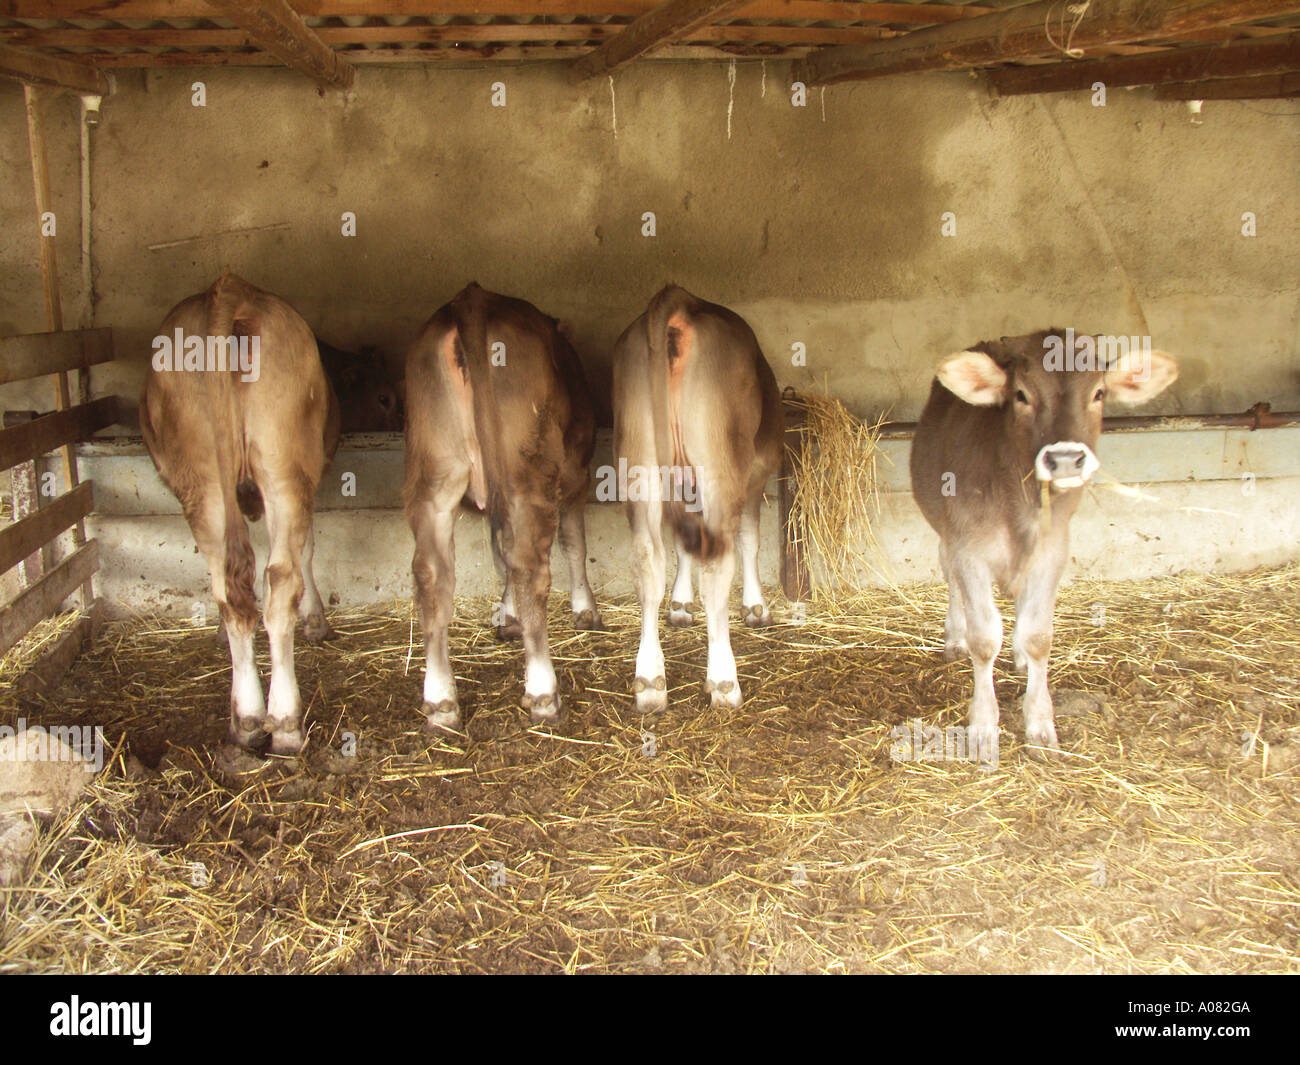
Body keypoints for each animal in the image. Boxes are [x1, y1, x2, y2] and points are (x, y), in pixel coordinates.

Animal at [141, 272, 338, 754]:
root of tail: (227, 291)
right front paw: (316, 620)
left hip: (217, 480)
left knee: (246, 585)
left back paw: (259, 719)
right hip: (274, 474)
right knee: (265, 583)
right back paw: (272, 720)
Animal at [404, 283, 602, 732]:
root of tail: (472, 298)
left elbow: (501, 551)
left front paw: (507, 616)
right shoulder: (576, 477)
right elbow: (573, 543)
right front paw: (585, 611)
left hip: (434, 475)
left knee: (431, 575)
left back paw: (441, 701)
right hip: (527, 472)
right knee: (531, 568)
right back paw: (544, 692)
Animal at [612, 285, 782, 714]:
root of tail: (681, 301)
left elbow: (681, 546)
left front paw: (679, 604)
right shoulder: (755, 477)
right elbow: (750, 541)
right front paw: (755, 607)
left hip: (639, 460)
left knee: (647, 559)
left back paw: (650, 680)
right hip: (720, 465)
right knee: (718, 563)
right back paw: (724, 679)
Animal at [909, 330, 1178, 756]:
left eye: (1099, 393)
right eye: (1021, 394)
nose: (1065, 459)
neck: (1019, 506)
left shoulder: (1053, 551)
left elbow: (1039, 637)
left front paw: (1039, 721)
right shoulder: (968, 548)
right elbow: (984, 638)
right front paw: (983, 726)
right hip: (945, 532)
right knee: (949, 578)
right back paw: (955, 639)